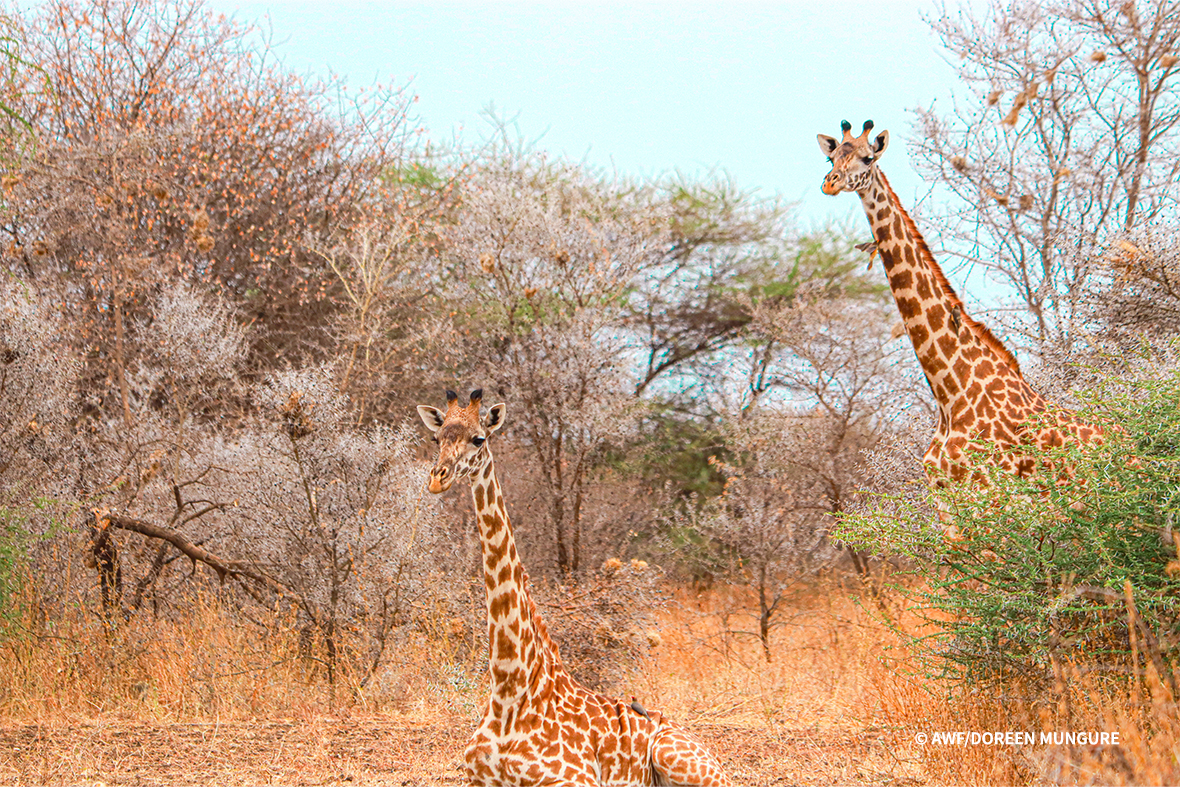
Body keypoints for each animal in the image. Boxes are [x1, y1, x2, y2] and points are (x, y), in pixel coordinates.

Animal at [417, 389, 731, 787]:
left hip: (676, 756)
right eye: (436, 438)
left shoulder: (576, 779)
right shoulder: (475, 778)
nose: (438, 479)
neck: (509, 691)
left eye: (479, 438)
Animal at [816, 120, 1102, 522]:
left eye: (868, 157)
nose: (831, 182)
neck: (950, 392)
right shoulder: (946, 503)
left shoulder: (990, 496)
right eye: (831, 157)